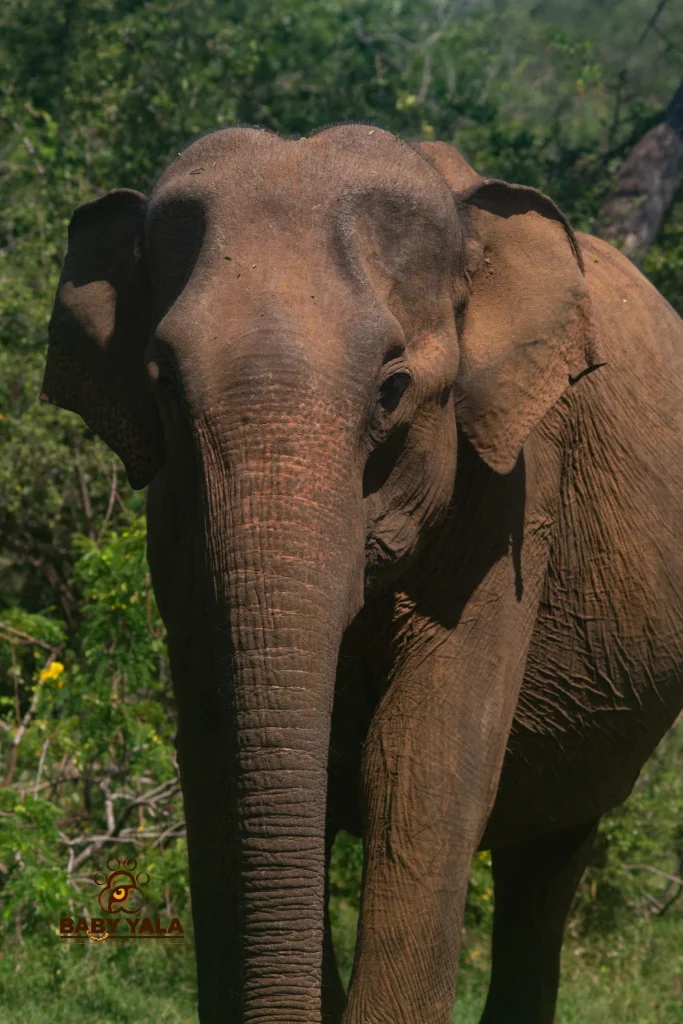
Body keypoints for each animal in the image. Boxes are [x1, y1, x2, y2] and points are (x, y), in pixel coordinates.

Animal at [41, 124, 683, 1024]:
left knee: (547, 856)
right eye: (163, 386)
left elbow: (416, 768)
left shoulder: (516, 489)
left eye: (391, 388)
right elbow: (214, 760)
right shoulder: (173, 518)